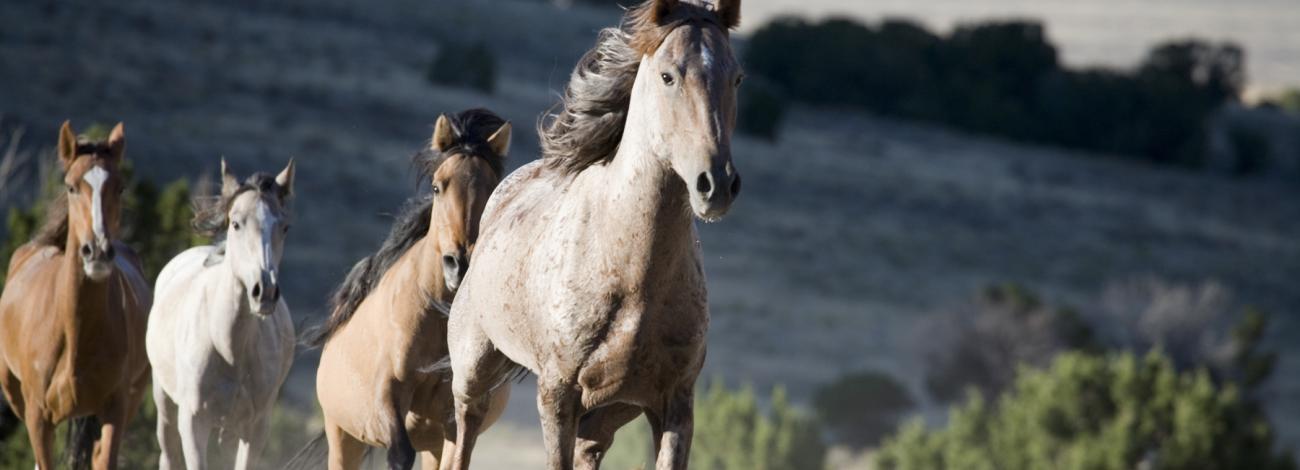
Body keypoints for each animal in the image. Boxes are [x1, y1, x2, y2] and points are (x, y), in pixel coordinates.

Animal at [0, 122, 152, 470]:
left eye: (120, 188)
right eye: (71, 187)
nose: (96, 251)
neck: (73, 332)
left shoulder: (114, 410)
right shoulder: (38, 417)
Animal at [146, 159, 296, 470]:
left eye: (285, 227)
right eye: (236, 223)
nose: (264, 291)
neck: (228, 348)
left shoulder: (255, 428)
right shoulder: (193, 422)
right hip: (164, 403)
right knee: (168, 453)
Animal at [308, 109, 512, 470]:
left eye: (492, 191)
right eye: (437, 186)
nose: (459, 263)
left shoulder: (456, 416)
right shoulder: (389, 393)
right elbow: (400, 454)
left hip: (430, 442)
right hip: (342, 433)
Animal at [444, 0, 743, 470]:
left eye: (736, 77)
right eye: (668, 75)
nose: (715, 184)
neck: (634, 275)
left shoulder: (675, 403)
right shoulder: (558, 396)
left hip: (610, 411)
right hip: (473, 375)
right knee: (463, 437)